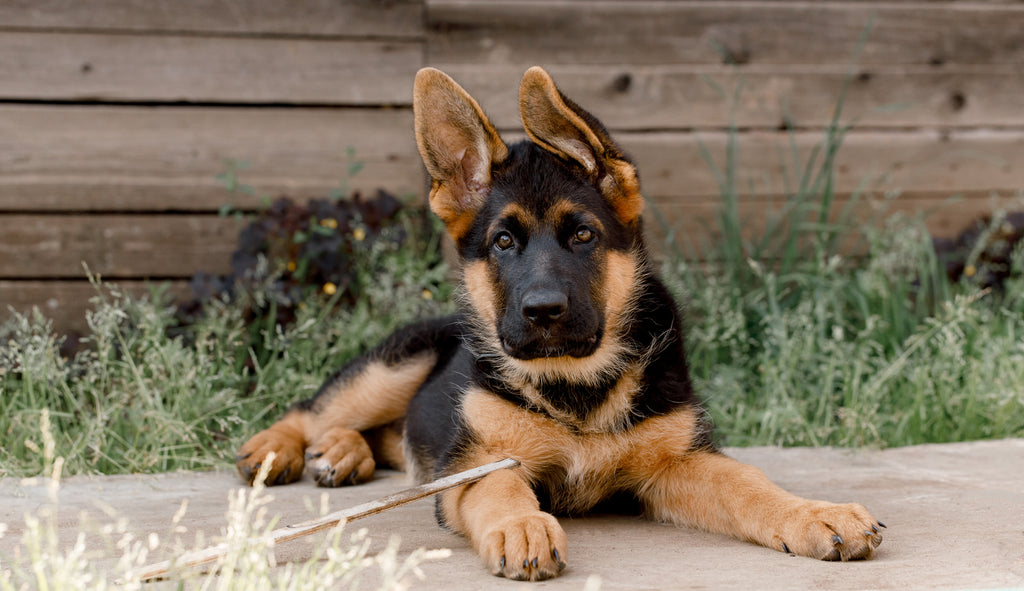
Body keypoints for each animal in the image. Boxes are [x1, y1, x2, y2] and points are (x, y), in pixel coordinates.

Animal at [235, 66, 884, 577]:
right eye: (501, 242)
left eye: (583, 235)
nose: (543, 312)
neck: (575, 384)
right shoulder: (476, 462)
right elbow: (501, 488)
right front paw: (524, 526)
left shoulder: (677, 462)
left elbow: (746, 484)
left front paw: (813, 513)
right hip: (399, 362)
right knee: (316, 411)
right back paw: (279, 450)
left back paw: (345, 454)